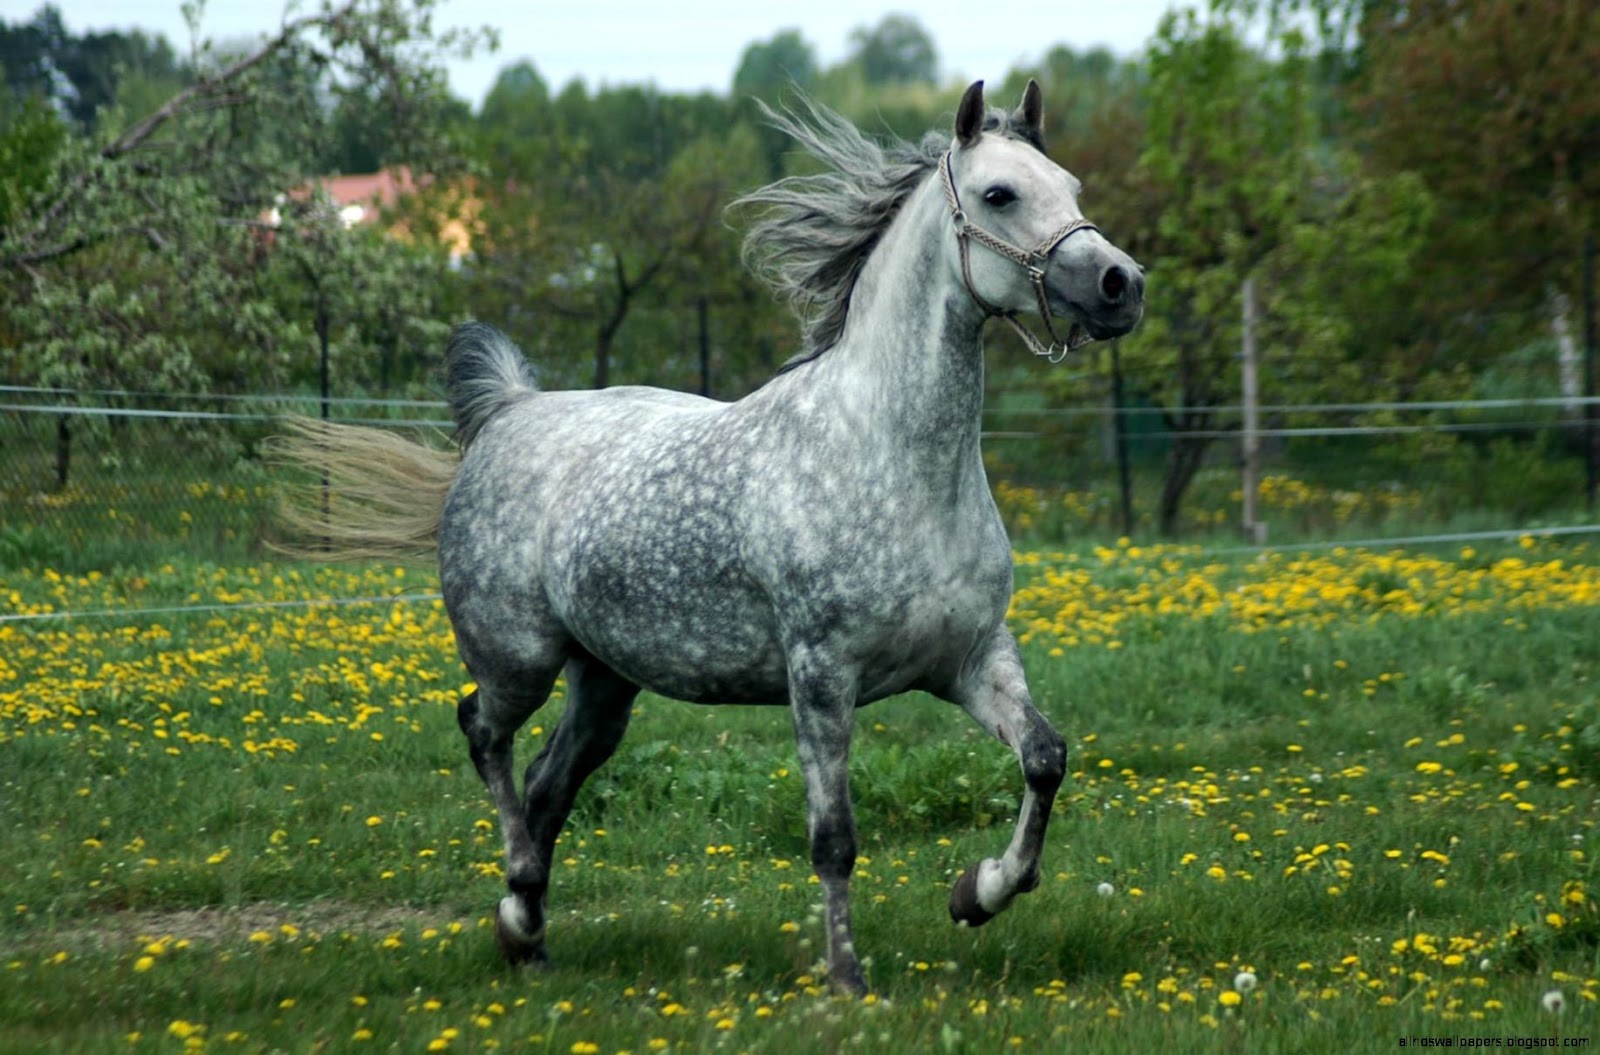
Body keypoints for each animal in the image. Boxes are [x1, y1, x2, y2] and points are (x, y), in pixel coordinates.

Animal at [277, 79, 1143, 994]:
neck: (889, 457)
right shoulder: (820, 676)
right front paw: (846, 978)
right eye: (999, 194)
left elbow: (1045, 757)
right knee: (483, 732)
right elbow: (834, 838)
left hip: (605, 682)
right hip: (518, 660)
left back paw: (533, 936)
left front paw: (977, 892)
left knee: (549, 779)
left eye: (1072, 186)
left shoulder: (970, 658)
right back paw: (514, 903)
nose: (1122, 284)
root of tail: (507, 412)